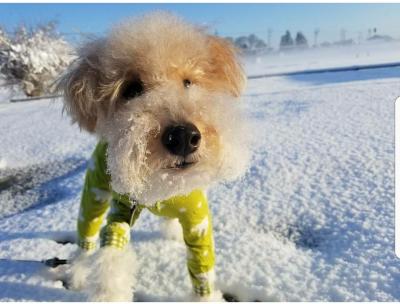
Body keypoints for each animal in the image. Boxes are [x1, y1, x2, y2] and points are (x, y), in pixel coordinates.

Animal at [57, 11, 250, 302]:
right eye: (131, 89)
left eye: (188, 82)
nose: (182, 136)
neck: (164, 187)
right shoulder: (120, 212)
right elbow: (111, 261)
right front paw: (108, 295)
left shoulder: (198, 220)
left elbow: (202, 269)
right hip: (93, 193)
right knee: (85, 240)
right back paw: (77, 272)